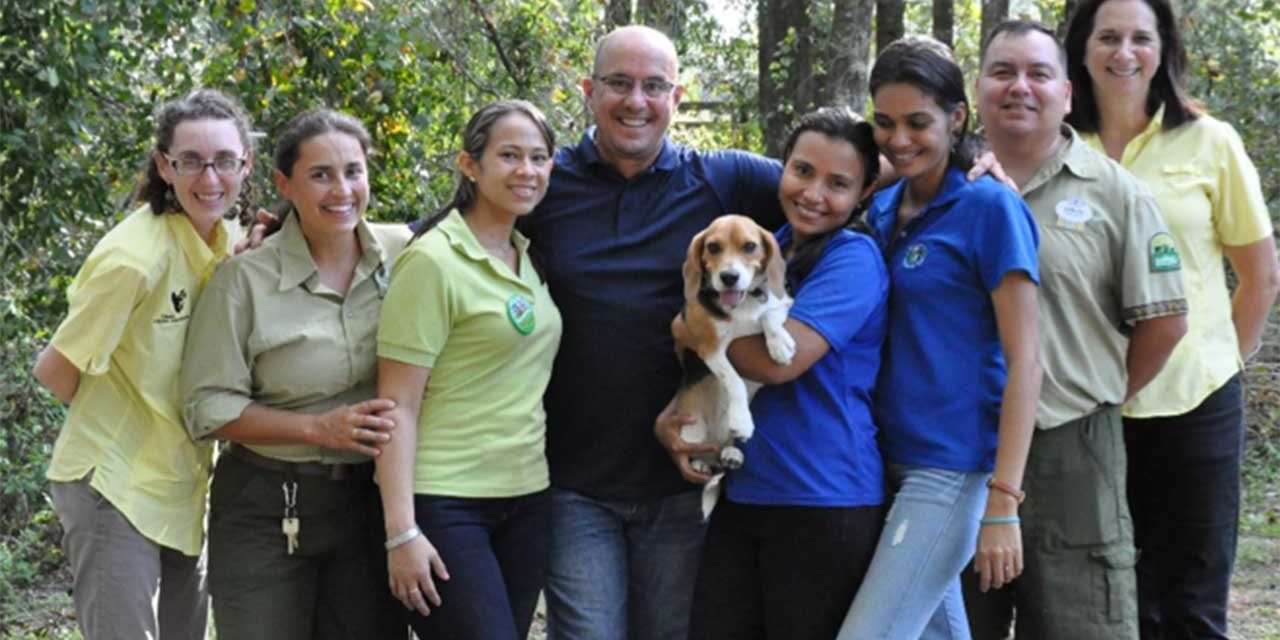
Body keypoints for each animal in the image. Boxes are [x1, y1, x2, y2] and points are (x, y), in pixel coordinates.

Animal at [675, 212, 793, 486]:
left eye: (749, 246)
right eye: (713, 247)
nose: (729, 277)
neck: (744, 303)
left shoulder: (783, 302)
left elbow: (769, 314)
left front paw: (780, 344)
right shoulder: (710, 349)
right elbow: (734, 380)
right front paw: (741, 420)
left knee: (724, 450)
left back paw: (731, 453)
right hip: (692, 428)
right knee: (698, 448)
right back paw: (700, 461)